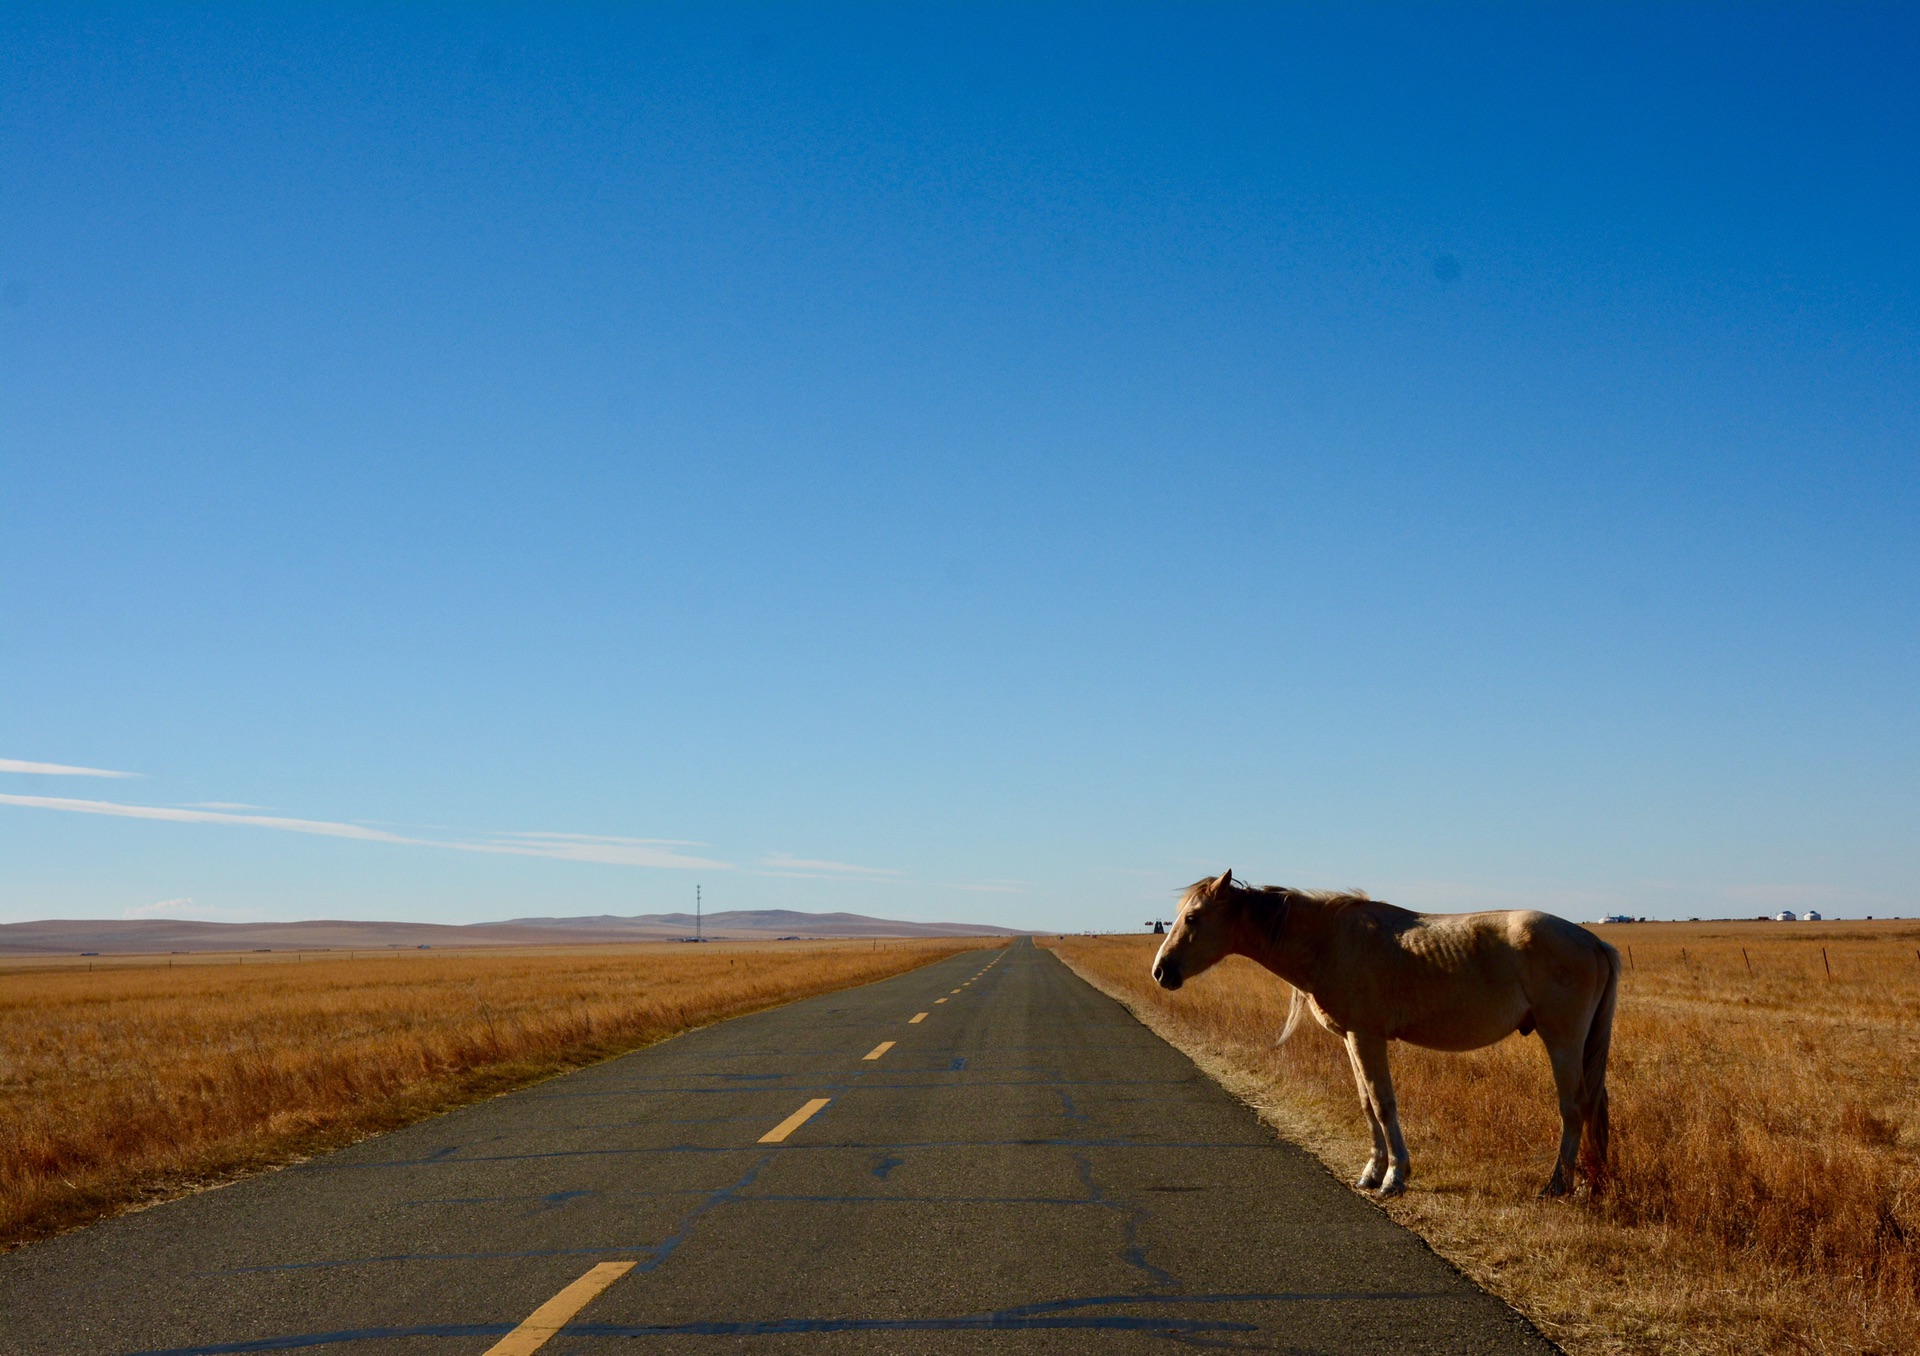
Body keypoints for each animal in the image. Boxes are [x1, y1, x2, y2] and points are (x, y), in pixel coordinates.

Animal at [1152, 871, 1620, 1190]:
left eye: (1192, 918)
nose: (1161, 971)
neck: (1329, 942)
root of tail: (1593, 941)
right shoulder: (1351, 1039)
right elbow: (1365, 1103)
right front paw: (1372, 1172)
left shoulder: (1367, 1037)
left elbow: (1383, 1103)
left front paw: (1395, 1176)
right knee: (1593, 1105)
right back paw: (1589, 1183)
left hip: (1562, 1039)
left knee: (1574, 1106)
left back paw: (1557, 1185)